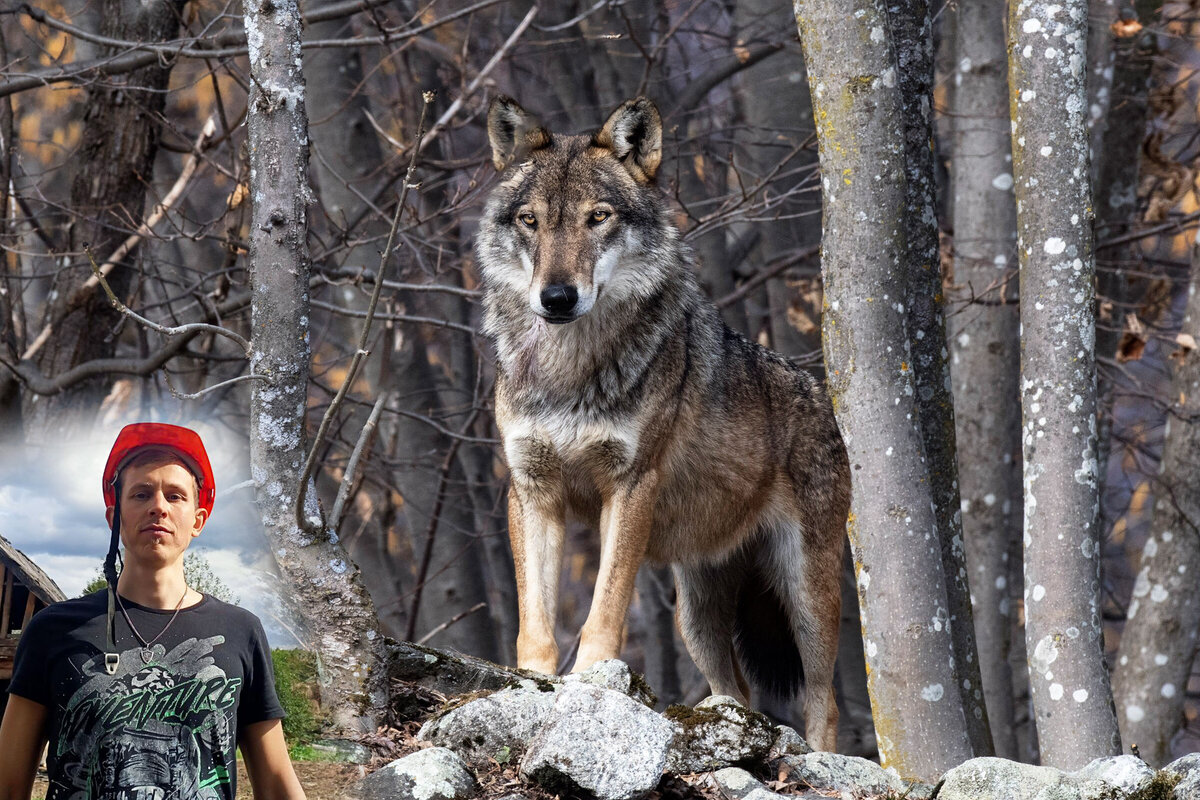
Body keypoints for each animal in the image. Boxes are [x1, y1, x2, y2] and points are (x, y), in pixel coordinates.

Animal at [477, 95, 854, 753]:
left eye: (598, 218)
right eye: (530, 221)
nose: (557, 297)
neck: (567, 369)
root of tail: (820, 395)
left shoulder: (631, 485)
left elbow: (604, 610)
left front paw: (593, 686)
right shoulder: (530, 489)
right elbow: (535, 620)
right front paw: (531, 683)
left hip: (806, 596)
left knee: (822, 700)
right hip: (694, 617)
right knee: (738, 692)